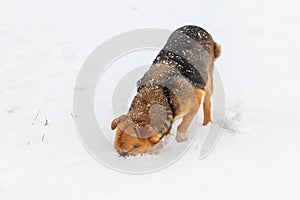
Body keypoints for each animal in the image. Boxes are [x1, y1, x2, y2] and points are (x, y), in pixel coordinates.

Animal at [110, 25, 220, 156]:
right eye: (117, 150)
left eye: (132, 148)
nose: (119, 157)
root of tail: (196, 27)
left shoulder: (194, 103)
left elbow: (182, 127)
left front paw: (180, 141)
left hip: (208, 81)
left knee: (207, 102)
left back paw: (206, 124)